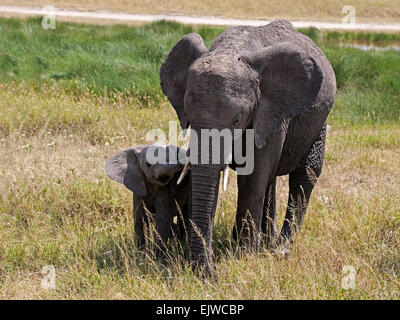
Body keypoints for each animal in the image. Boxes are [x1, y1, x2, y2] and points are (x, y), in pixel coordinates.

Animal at [159, 19, 338, 276]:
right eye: (189, 115)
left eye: (238, 119)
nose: (211, 275)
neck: (231, 50)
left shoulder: (271, 111)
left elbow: (252, 177)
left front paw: (243, 254)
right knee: (271, 180)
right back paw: (267, 241)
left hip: (318, 121)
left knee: (305, 174)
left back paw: (280, 249)